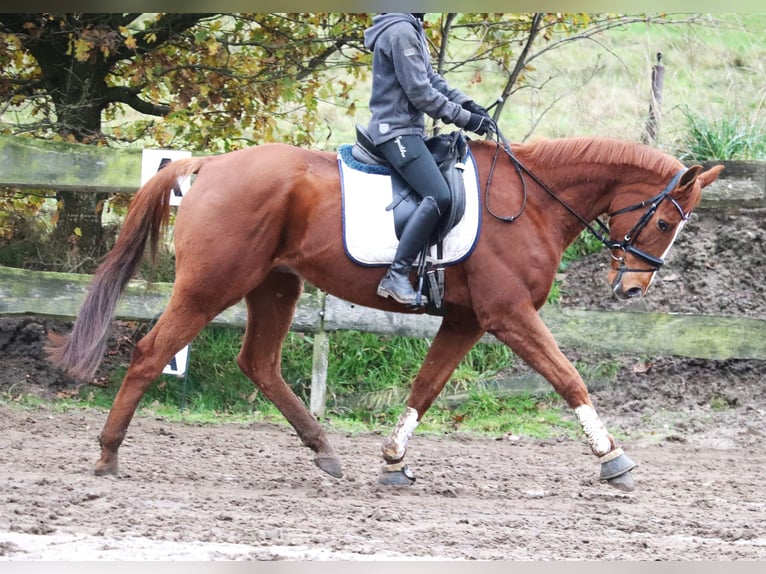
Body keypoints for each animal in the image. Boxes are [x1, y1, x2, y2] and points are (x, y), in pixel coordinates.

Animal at [49, 135, 728, 490]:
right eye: (664, 222)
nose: (632, 291)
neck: (531, 202)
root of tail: (210, 163)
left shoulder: (467, 320)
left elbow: (426, 387)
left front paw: (394, 460)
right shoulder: (507, 315)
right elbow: (568, 377)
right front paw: (614, 459)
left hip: (274, 286)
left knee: (259, 364)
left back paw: (325, 451)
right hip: (211, 284)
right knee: (151, 354)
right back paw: (107, 455)